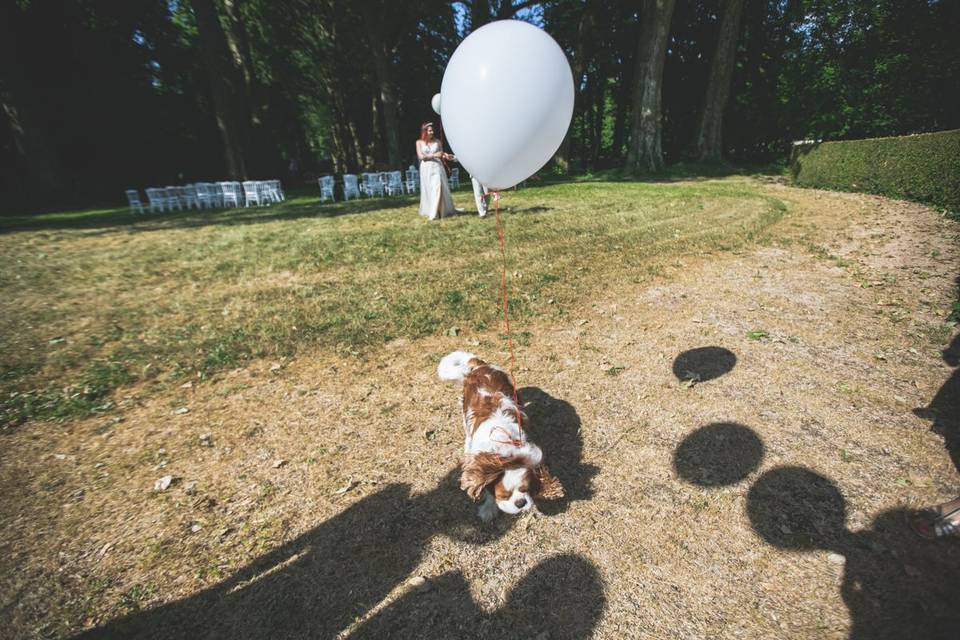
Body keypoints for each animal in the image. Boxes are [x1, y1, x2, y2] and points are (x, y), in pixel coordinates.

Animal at [436, 352, 564, 524]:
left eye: (526, 489)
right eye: (504, 495)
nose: (520, 503)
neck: (504, 449)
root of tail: (480, 365)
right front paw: (489, 508)